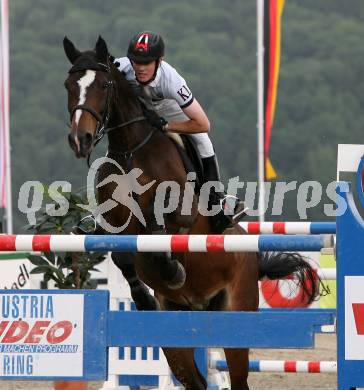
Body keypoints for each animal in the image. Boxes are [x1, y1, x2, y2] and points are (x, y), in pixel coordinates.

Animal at [64, 35, 320, 386]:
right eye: (68, 86)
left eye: (103, 85)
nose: (81, 139)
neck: (131, 150)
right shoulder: (113, 226)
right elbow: (123, 256)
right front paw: (143, 298)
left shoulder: (180, 216)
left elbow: (157, 229)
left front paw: (173, 270)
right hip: (179, 332)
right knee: (195, 379)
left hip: (235, 318)